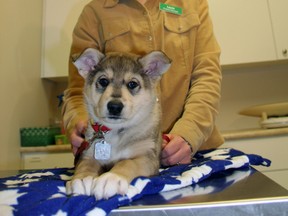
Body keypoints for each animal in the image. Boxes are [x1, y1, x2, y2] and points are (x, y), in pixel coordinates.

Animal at [66, 48, 171, 200]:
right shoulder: (88, 153)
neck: (116, 132)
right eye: (103, 81)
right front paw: (82, 179)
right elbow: (86, 165)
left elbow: (127, 162)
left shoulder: (147, 157)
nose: (115, 107)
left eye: (132, 84)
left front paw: (111, 178)